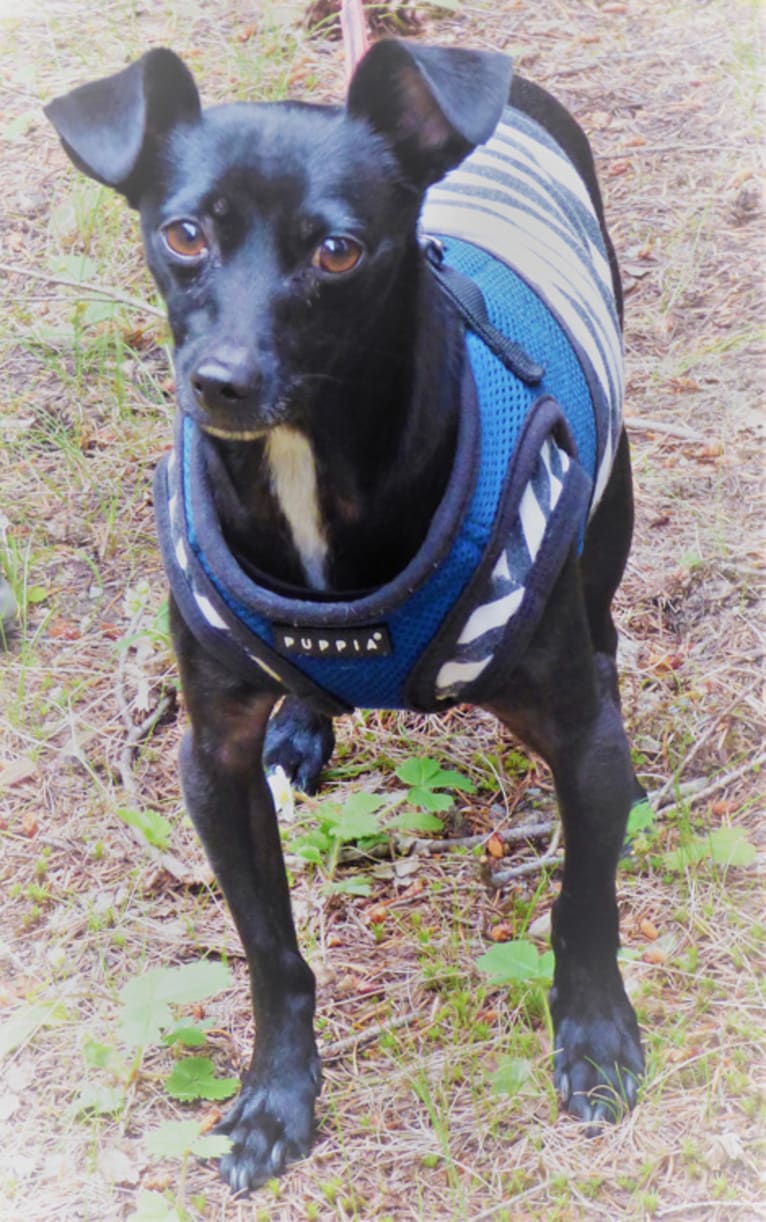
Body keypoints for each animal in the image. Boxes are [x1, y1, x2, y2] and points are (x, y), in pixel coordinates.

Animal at [46, 40, 645, 1192]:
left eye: (337, 251)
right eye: (183, 234)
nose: (221, 381)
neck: (308, 472)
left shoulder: (578, 738)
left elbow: (583, 905)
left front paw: (595, 1040)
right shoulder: (211, 765)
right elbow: (268, 949)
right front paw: (275, 1098)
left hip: (607, 512)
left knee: (604, 631)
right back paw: (303, 720)